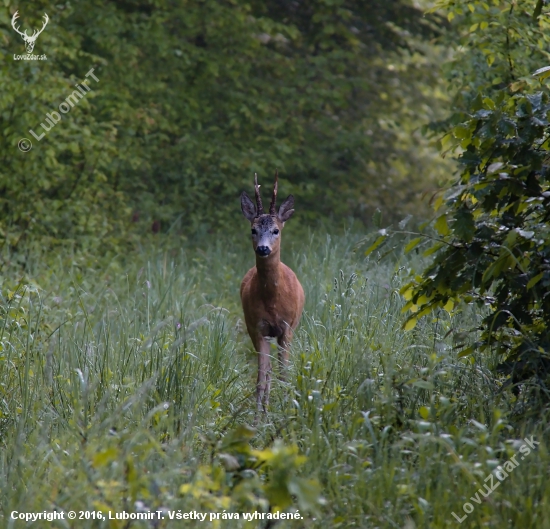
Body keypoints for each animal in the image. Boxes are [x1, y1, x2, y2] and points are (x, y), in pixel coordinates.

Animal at [240, 173, 306, 412]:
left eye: (276, 230)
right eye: (253, 229)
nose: (263, 248)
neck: (273, 303)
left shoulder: (287, 328)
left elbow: (284, 376)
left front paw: (286, 412)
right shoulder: (259, 327)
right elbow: (261, 379)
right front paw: (258, 418)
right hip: (252, 327)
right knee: (267, 373)